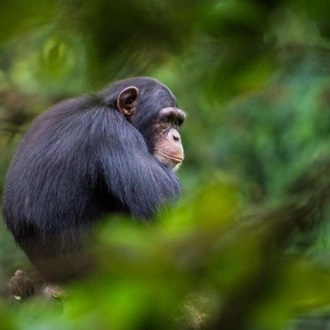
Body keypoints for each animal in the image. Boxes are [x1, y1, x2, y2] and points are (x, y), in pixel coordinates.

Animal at [1, 76, 186, 282]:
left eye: (177, 122)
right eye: (166, 120)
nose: (176, 137)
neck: (112, 109)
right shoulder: (113, 131)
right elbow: (161, 203)